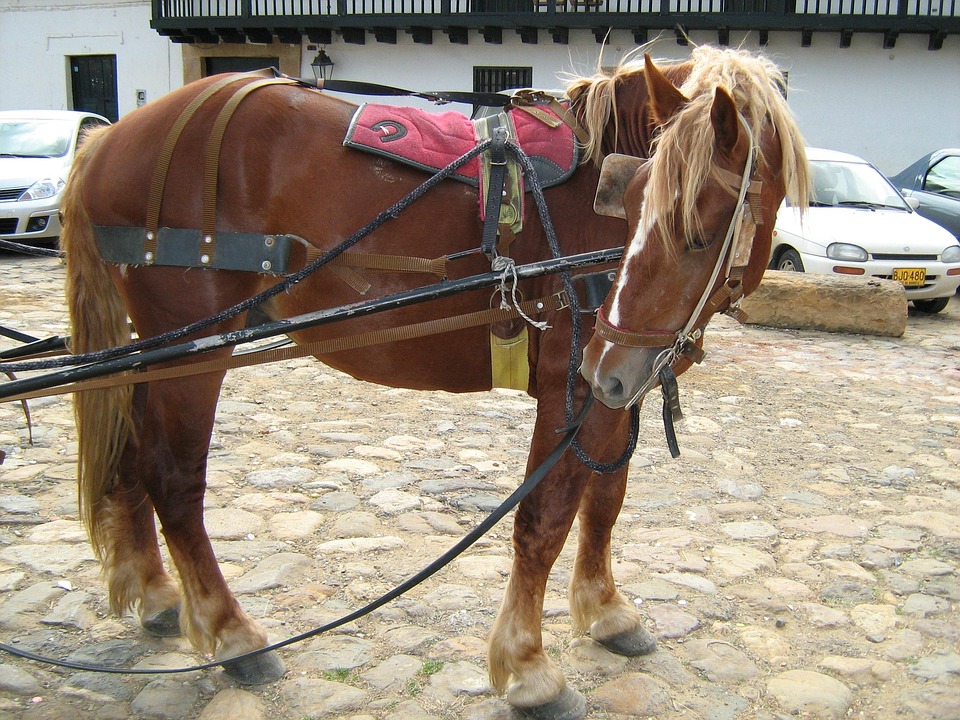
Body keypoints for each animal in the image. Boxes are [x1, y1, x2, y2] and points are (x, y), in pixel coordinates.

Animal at [59, 44, 808, 719]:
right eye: (639, 206)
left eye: (700, 229)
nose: (606, 362)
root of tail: (109, 138)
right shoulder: (573, 380)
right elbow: (546, 516)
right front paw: (528, 666)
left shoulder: (620, 383)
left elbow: (606, 501)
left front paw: (605, 609)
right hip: (193, 349)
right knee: (171, 478)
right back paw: (230, 631)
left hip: (160, 353)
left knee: (130, 454)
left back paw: (156, 593)